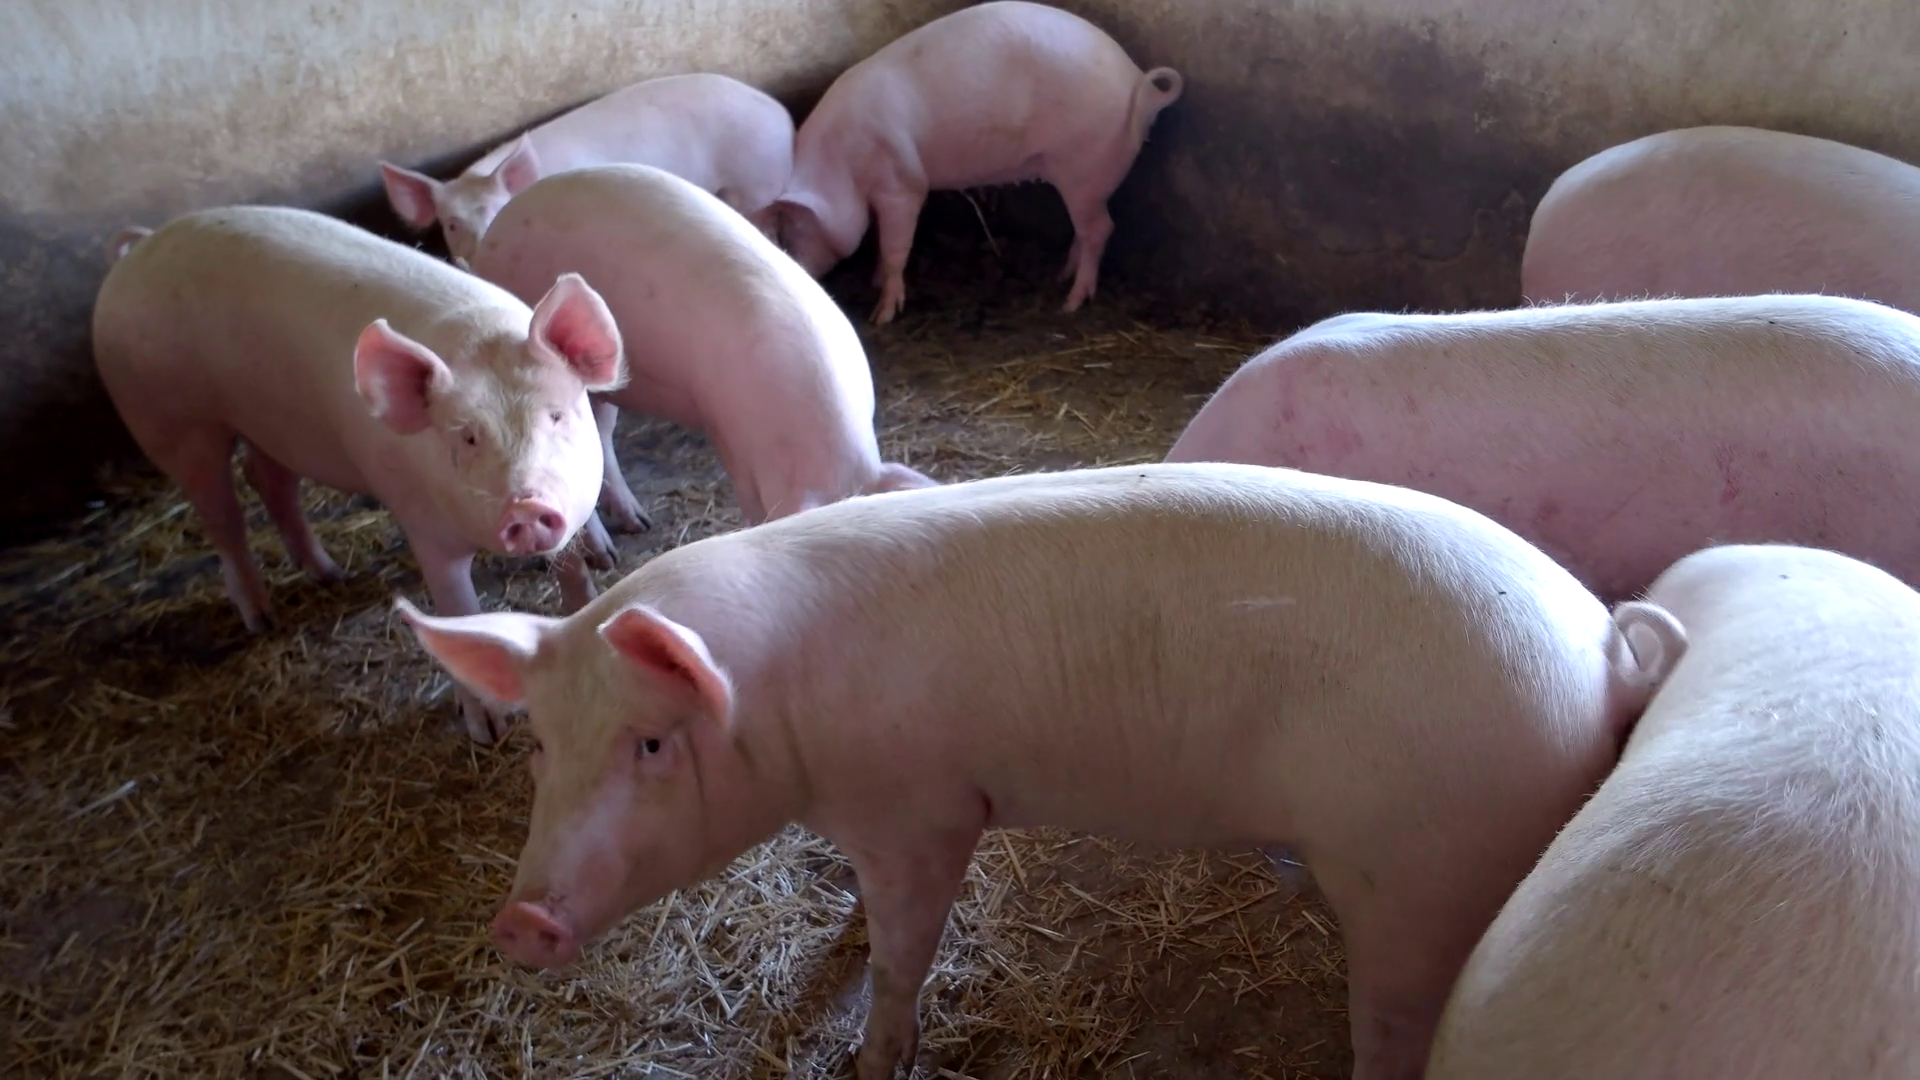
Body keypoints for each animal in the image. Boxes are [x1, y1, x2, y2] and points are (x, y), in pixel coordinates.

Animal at [93, 204, 626, 745]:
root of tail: (140, 248)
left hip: (278, 428)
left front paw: (599, 574)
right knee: (222, 515)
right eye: (467, 437)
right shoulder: (422, 522)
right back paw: (262, 619)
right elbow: (457, 611)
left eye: (556, 415)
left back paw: (331, 574)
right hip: (170, 423)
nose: (527, 505)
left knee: (265, 477)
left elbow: (574, 574)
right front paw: (489, 732)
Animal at [395, 462, 1686, 1080]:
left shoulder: (925, 806)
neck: (783, 704)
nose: (518, 924)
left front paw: (871, 1058)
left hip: (1426, 875)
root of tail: (1600, 645)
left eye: (652, 744)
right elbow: (865, 912)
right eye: (546, 743)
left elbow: (908, 946)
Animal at [773, 0, 1184, 325]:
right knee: (1086, 231)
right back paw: (1061, 277)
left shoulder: (902, 185)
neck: (842, 163)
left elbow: (894, 246)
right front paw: (874, 283)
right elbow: (879, 238)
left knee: (1101, 229)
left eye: (790, 233)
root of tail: (1139, 86)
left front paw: (882, 316)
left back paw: (1070, 303)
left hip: (1085, 168)